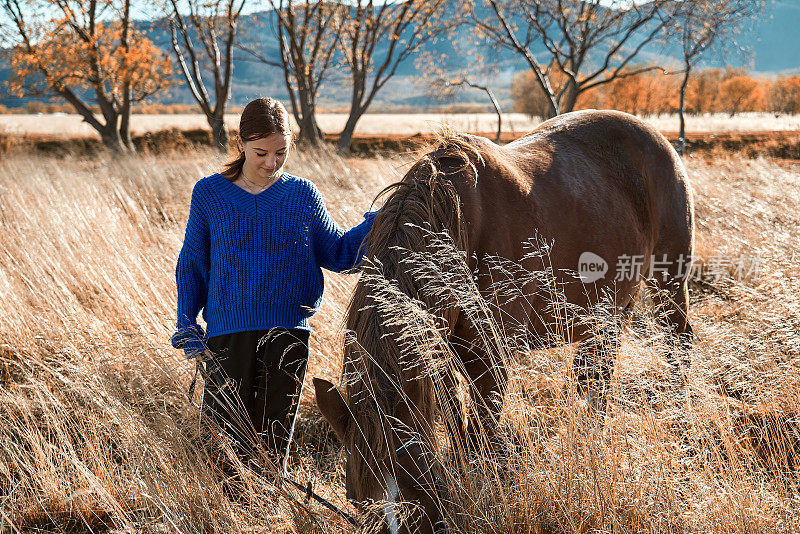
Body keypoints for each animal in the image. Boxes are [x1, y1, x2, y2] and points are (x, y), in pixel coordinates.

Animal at [316, 111, 692, 532]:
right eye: (356, 499)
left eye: (411, 489)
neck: (456, 226)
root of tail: (655, 135)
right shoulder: (443, 355)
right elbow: (459, 427)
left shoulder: (489, 358)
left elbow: (482, 431)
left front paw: (488, 491)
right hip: (608, 309)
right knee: (595, 376)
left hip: (669, 281)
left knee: (677, 347)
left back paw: (682, 423)